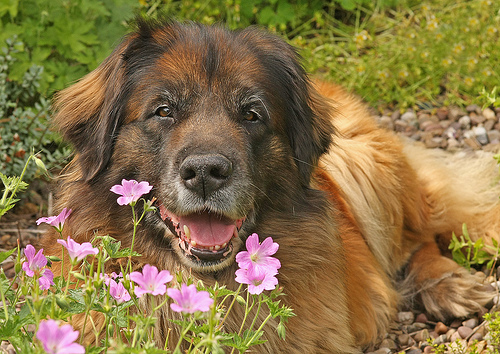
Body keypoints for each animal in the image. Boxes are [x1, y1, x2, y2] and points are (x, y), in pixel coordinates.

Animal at [42, 18, 500, 352]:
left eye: (252, 114)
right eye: (164, 110)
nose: (206, 172)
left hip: (365, 163)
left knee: (418, 236)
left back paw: (448, 285)